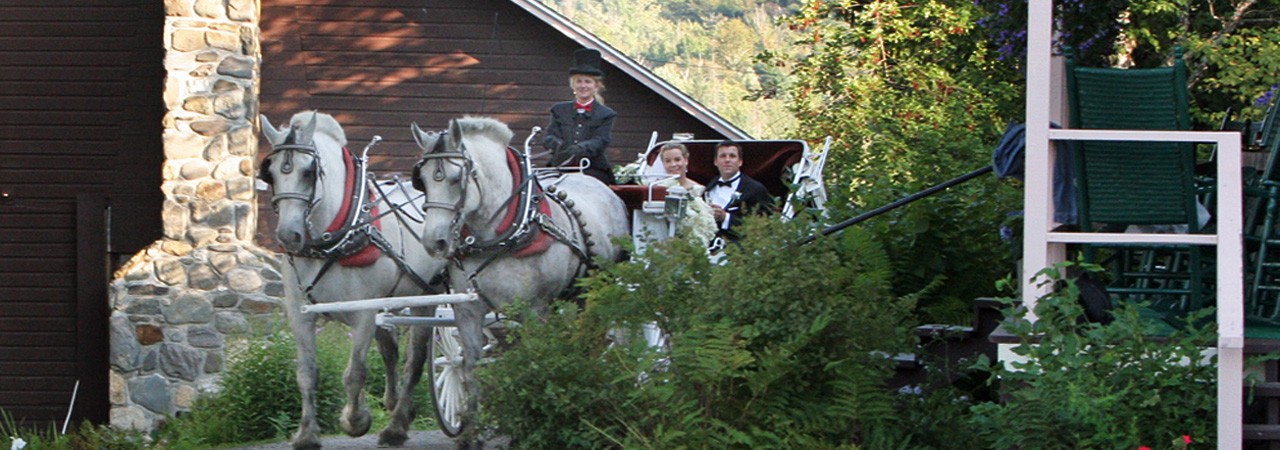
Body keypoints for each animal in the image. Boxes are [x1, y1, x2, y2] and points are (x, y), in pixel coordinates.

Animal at [257, 110, 448, 447]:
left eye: (309, 172)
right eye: (271, 173)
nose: (289, 236)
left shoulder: (363, 313)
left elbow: (355, 372)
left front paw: (356, 420)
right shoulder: (300, 314)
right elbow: (306, 373)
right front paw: (306, 433)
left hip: (427, 297)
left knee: (414, 361)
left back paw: (396, 425)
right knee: (390, 349)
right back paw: (395, 405)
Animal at [409, 116, 629, 442]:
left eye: (455, 178)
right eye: (421, 181)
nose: (433, 242)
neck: (499, 234)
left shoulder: (532, 310)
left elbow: (532, 360)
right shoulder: (467, 310)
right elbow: (471, 365)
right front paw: (471, 431)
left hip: (595, 293)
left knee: (596, 341)